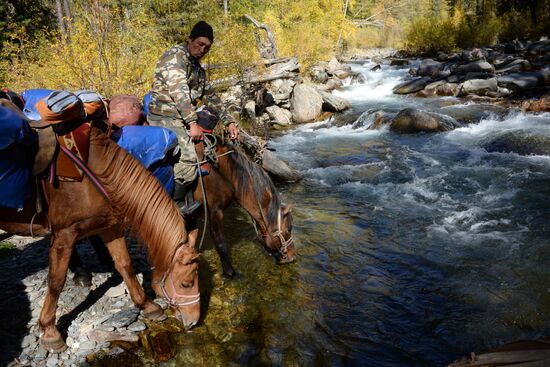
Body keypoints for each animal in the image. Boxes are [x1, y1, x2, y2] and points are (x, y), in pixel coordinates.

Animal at [0, 123, 202, 354]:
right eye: (186, 283)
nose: (194, 321)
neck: (94, 178)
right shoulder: (64, 234)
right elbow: (56, 281)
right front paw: (50, 331)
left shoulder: (110, 227)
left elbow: (125, 265)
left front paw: (147, 305)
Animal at [195, 137, 298, 278]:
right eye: (288, 229)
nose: (292, 257)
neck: (224, 173)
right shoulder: (215, 211)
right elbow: (221, 243)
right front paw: (230, 273)